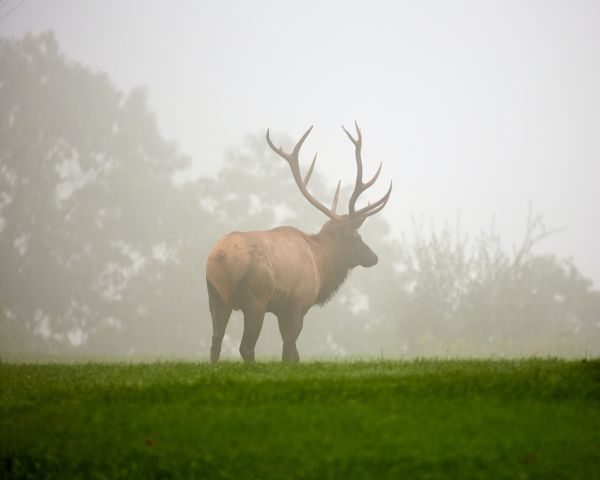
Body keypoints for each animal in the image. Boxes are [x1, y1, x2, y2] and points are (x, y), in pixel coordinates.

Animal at [207, 122, 394, 362]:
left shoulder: (283, 309)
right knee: (246, 347)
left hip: (215, 295)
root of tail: (221, 257)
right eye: (356, 237)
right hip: (255, 298)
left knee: (215, 344)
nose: (374, 257)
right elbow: (289, 353)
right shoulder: (297, 304)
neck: (321, 265)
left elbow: (294, 354)